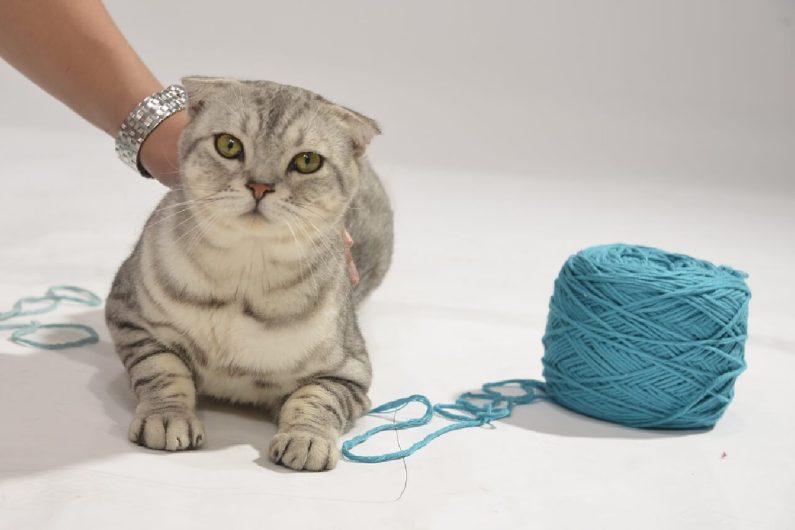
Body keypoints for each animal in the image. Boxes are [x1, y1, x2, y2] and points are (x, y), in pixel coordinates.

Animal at [102, 75, 394, 470]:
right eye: (229, 145)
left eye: (307, 161)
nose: (259, 185)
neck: (243, 280)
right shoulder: (130, 316)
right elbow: (162, 369)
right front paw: (167, 416)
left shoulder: (351, 372)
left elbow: (318, 399)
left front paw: (306, 439)